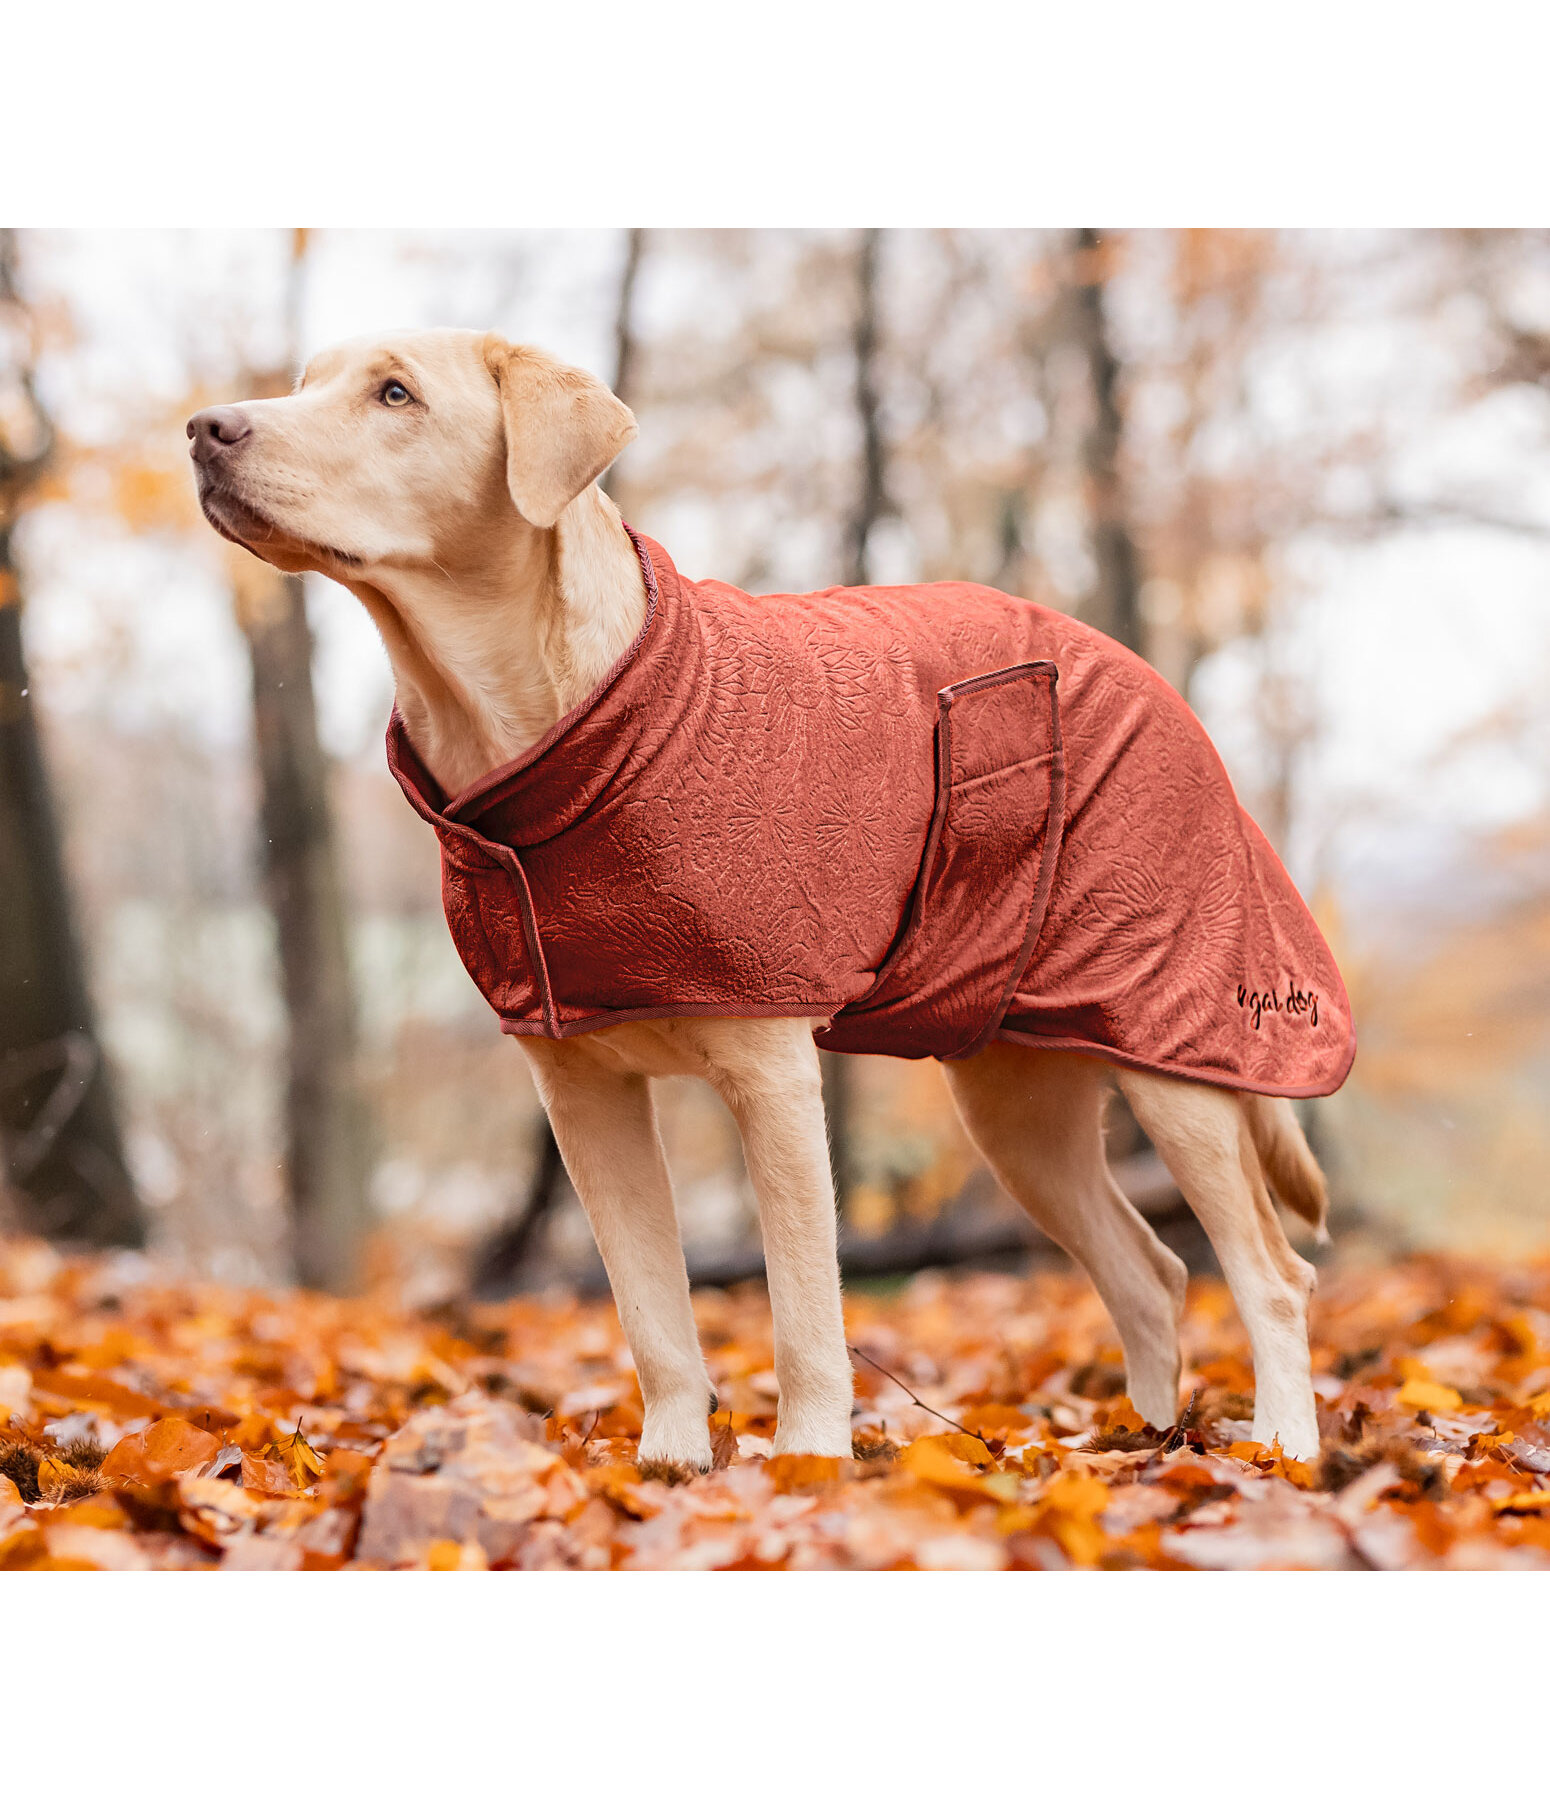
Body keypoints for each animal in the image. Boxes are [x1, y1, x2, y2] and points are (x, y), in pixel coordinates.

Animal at [187, 331, 1324, 1468]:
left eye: (395, 394)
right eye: (302, 383)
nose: (206, 427)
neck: (543, 736)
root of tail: (1159, 687)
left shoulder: (772, 1073)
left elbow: (801, 1314)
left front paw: (807, 1464)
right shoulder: (581, 1091)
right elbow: (651, 1312)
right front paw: (668, 1466)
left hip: (1176, 1057)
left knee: (1273, 1276)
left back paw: (1279, 1447)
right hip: (1019, 1114)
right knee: (1151, 1273)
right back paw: (1136, 1446)